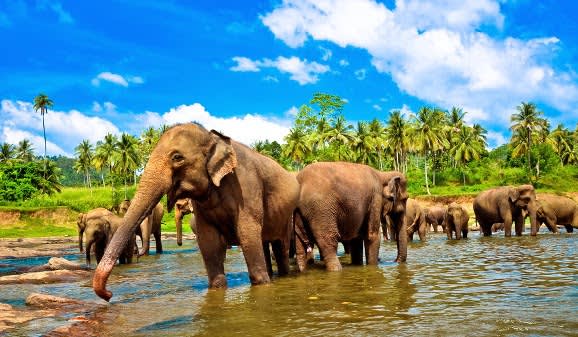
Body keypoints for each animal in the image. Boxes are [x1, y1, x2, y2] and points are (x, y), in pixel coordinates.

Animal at [92, 122, 300, 300]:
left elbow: (247, 234)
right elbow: (208, 241)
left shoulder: (247, 188)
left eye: (177, 157)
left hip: (286, 215)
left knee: (280, 246)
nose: (109, 295)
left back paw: (282, 275)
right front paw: (217, 288)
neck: (213, 137)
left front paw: (262, 284)